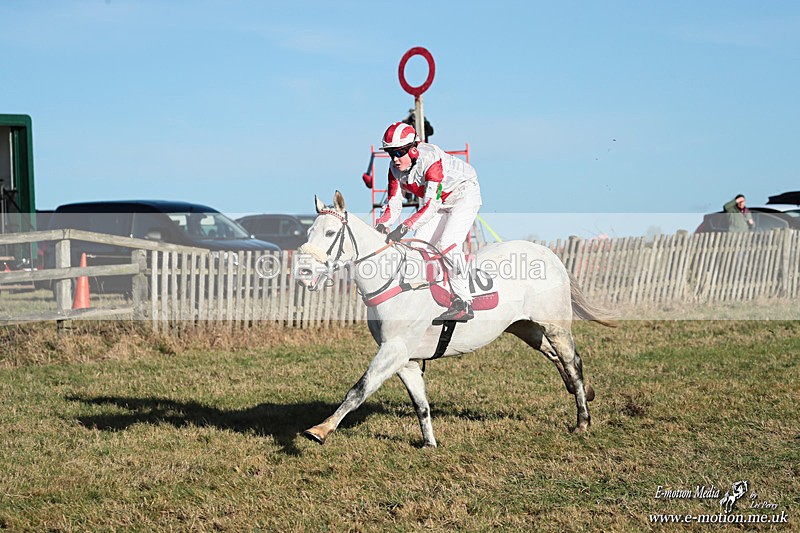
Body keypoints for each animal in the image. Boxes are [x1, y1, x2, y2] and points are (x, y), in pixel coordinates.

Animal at [298, 191, 614, 447]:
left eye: (330, 233)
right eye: (310, 231)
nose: (303, 274)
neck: (394, 281)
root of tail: (548, 253)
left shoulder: (394, 348)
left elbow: (359, 389)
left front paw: (321, 429)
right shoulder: (404, 357)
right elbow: (420, 403)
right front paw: (429, 443)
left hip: (554, 325)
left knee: (572, 361)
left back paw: (582, 420)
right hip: (525, 328)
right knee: (554, 356)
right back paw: (584, 391)